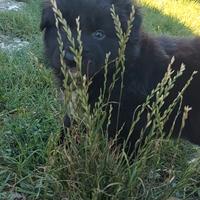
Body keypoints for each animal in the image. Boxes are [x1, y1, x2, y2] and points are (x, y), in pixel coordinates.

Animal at [40, 0, 200, 150]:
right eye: (62, 26)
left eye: (99, 34)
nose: (70, 59)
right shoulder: (79, 112)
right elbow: (68, 129)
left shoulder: (131, 129)